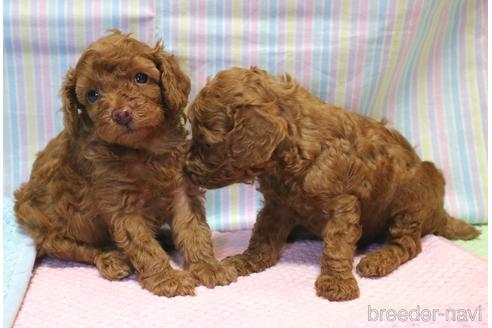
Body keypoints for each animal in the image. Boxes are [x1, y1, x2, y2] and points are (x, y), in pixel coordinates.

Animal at [14, 31, 237, 298]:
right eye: (93, 95)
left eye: (141, 78)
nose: (122, 114)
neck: (143, 148)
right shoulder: (122, 205)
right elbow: (143, 245)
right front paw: (167, 278)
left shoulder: (182, 189)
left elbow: (194, 229)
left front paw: (209, 266)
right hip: (48, 226)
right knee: (70, 247)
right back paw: (111, 258)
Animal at [184, 66, 476, 302]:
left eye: (207, 142)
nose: (185, 168)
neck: (291, 154)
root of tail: (437, 212)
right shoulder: (278, 204)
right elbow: (263, 235)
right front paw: (248, 260)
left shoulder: (343, 206)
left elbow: (336, 246)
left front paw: (336, 282)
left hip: (408, 203)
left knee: (408, 245)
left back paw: (378, 259)